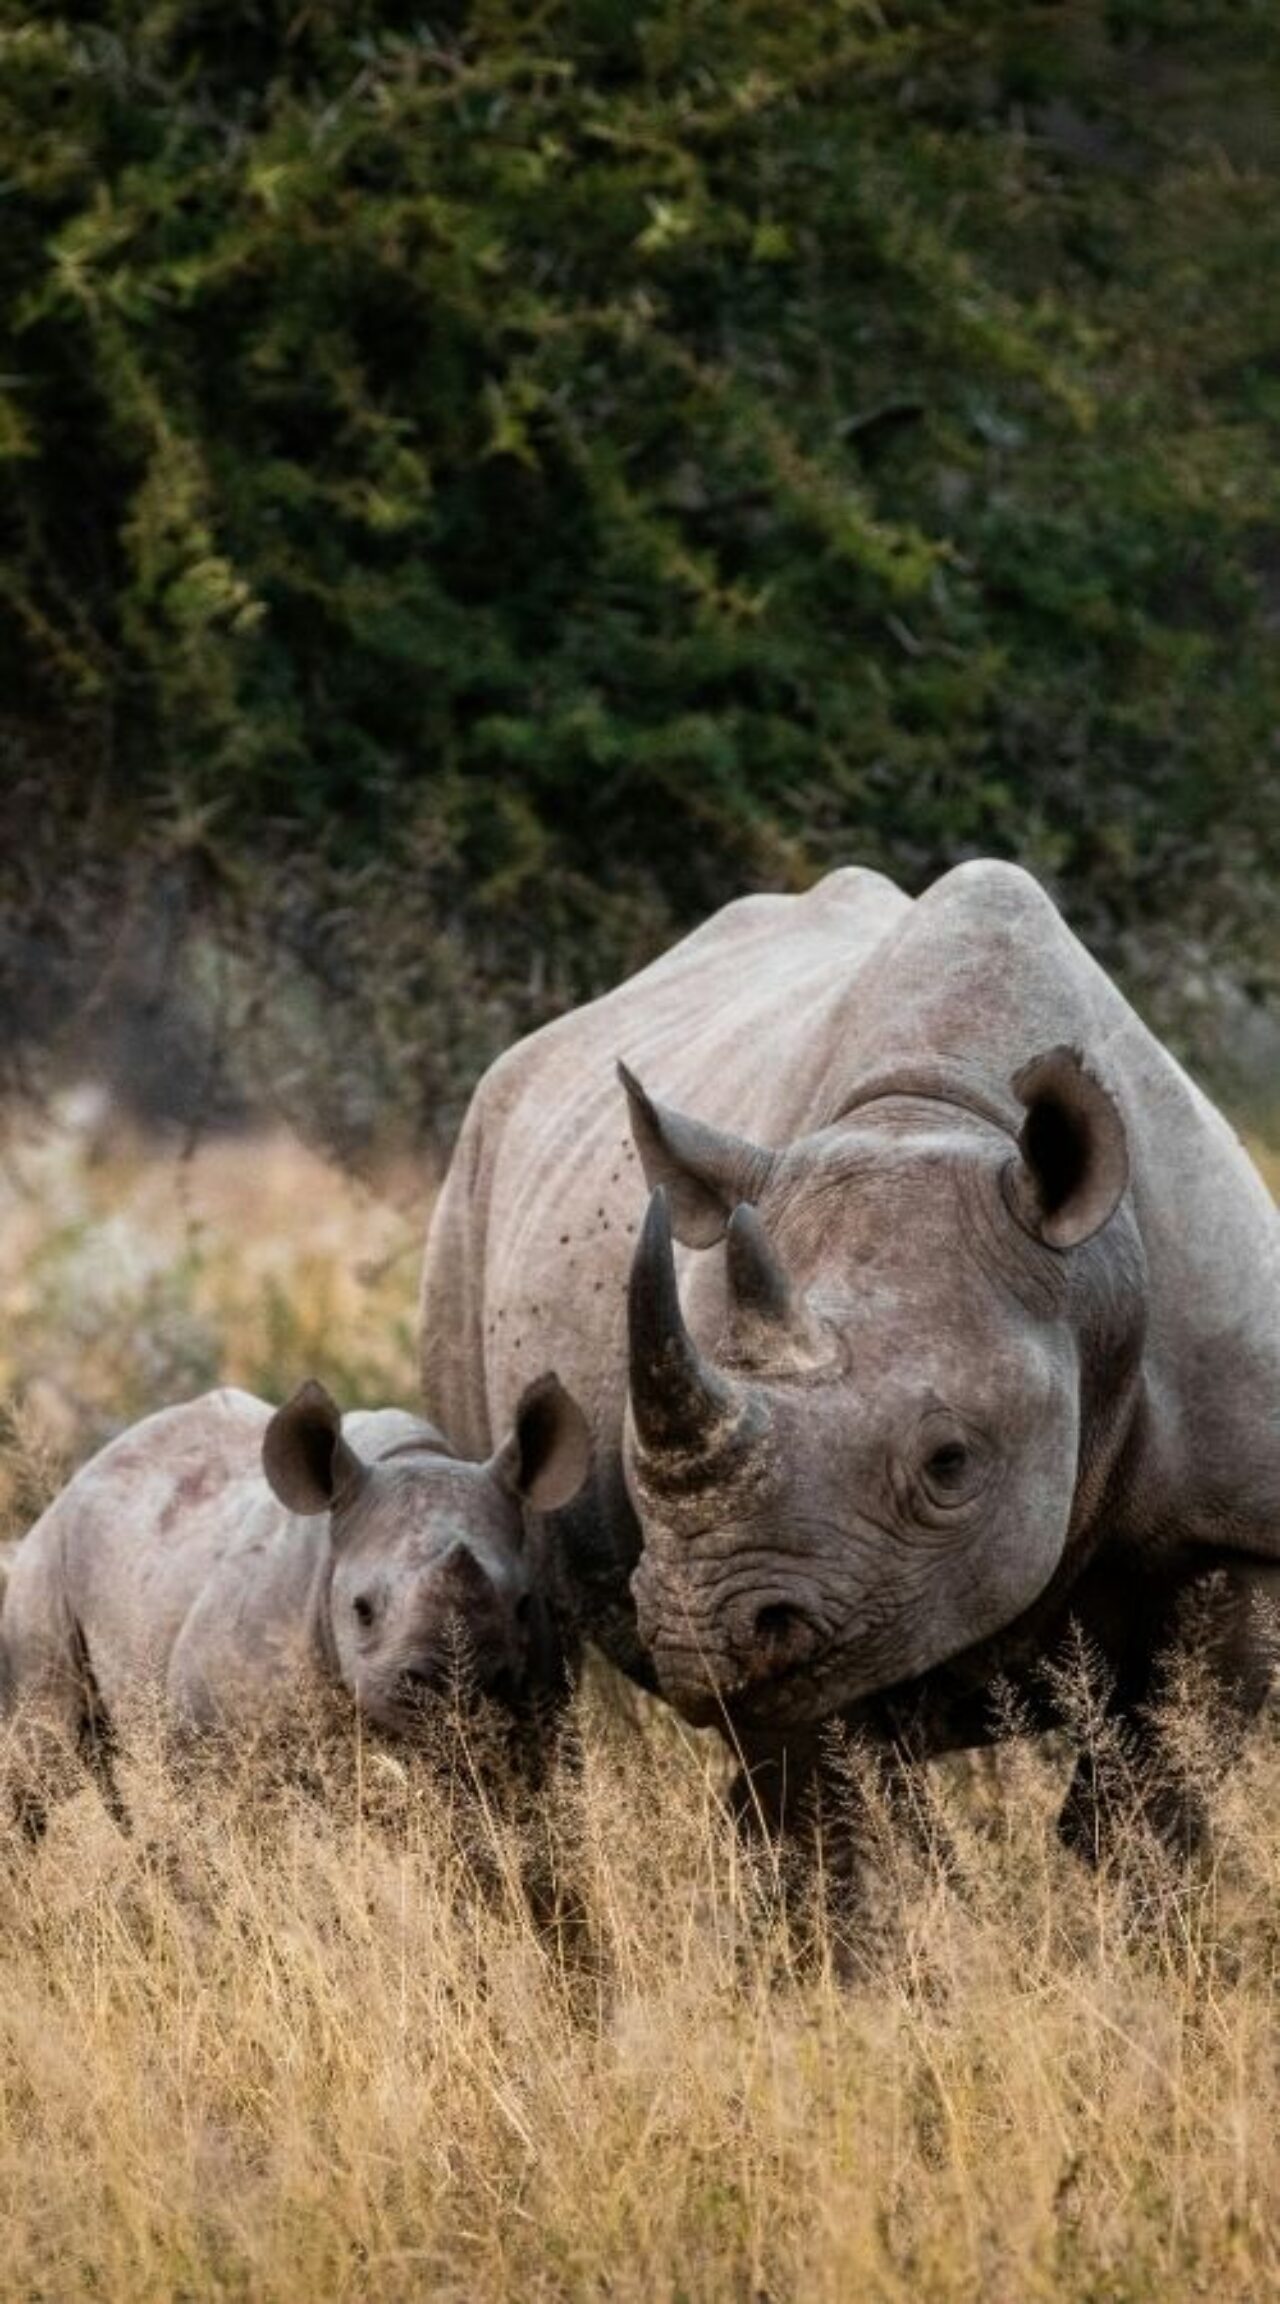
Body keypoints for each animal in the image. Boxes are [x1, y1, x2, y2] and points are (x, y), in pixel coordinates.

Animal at [0, 1373, 588, 1834]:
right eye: (361, 1610)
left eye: (522, 1605)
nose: (452, 1691)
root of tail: (82, 1474)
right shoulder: (210, 1741)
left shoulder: (540, 1725)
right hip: (43, 1572)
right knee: (40, 1758)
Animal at [418, 861, 1280, 1869]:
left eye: (950, 1462)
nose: (701, 1631)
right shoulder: (812, 1582)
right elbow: (836, 1820)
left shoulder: (1236, 1523)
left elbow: (1151, 1799)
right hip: (466, 1197)